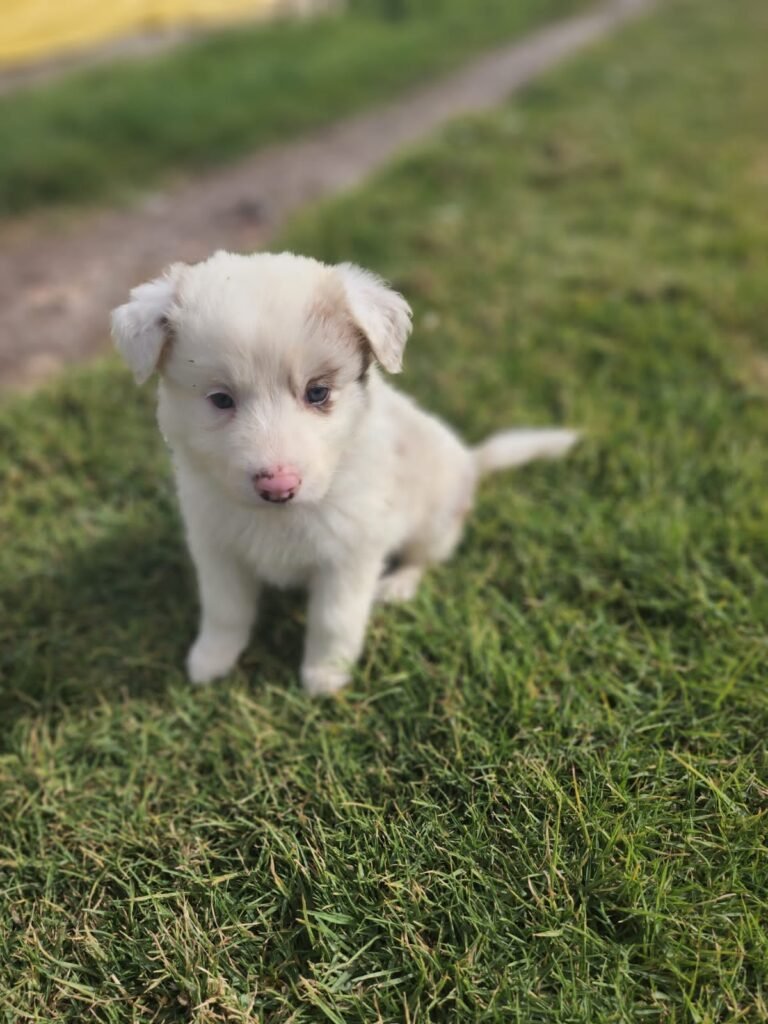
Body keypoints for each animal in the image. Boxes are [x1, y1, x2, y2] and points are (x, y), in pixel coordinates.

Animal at [109, 248, 577, 696]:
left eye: (317, 393)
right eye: (221, 399)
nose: (278, 486)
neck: (280, 518)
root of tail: (471, 459)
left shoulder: (350, 552)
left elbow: (334, 619)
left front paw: (325, 675)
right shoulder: (217, 545)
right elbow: (225, 610)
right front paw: (212, 659)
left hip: (436, 519)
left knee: (424, 557)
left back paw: (399, 585)